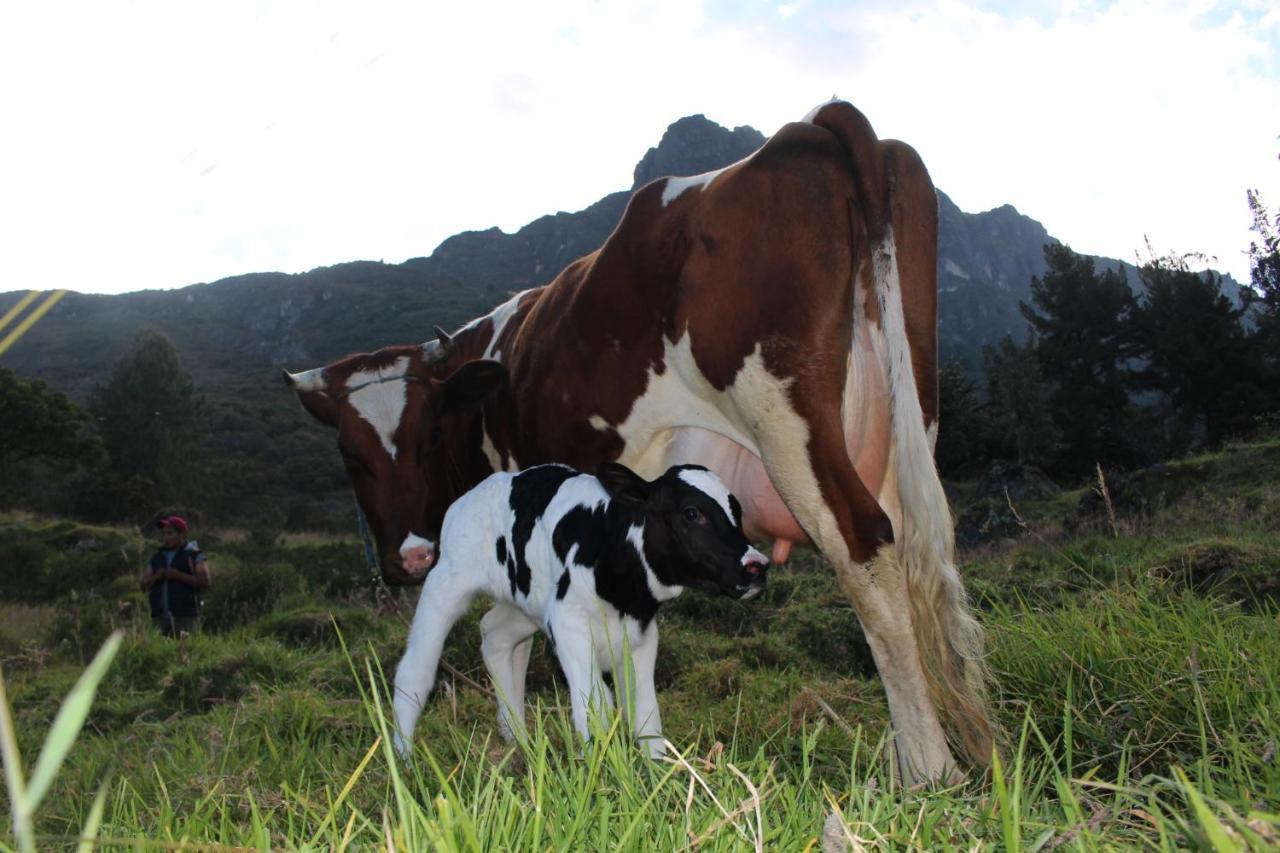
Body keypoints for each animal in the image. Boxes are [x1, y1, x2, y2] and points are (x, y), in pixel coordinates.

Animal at [389, 461, 768, 753]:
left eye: (738, 511)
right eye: (692, 513)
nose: (756, 566)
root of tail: (474, 493)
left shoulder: (642, 635)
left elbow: (646, 715)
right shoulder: (568, 625)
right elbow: (595, 708)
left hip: (526, 606)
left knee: (495, 634)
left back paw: (518, 740)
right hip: (447, 581)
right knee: (415, 670)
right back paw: (405, 760)